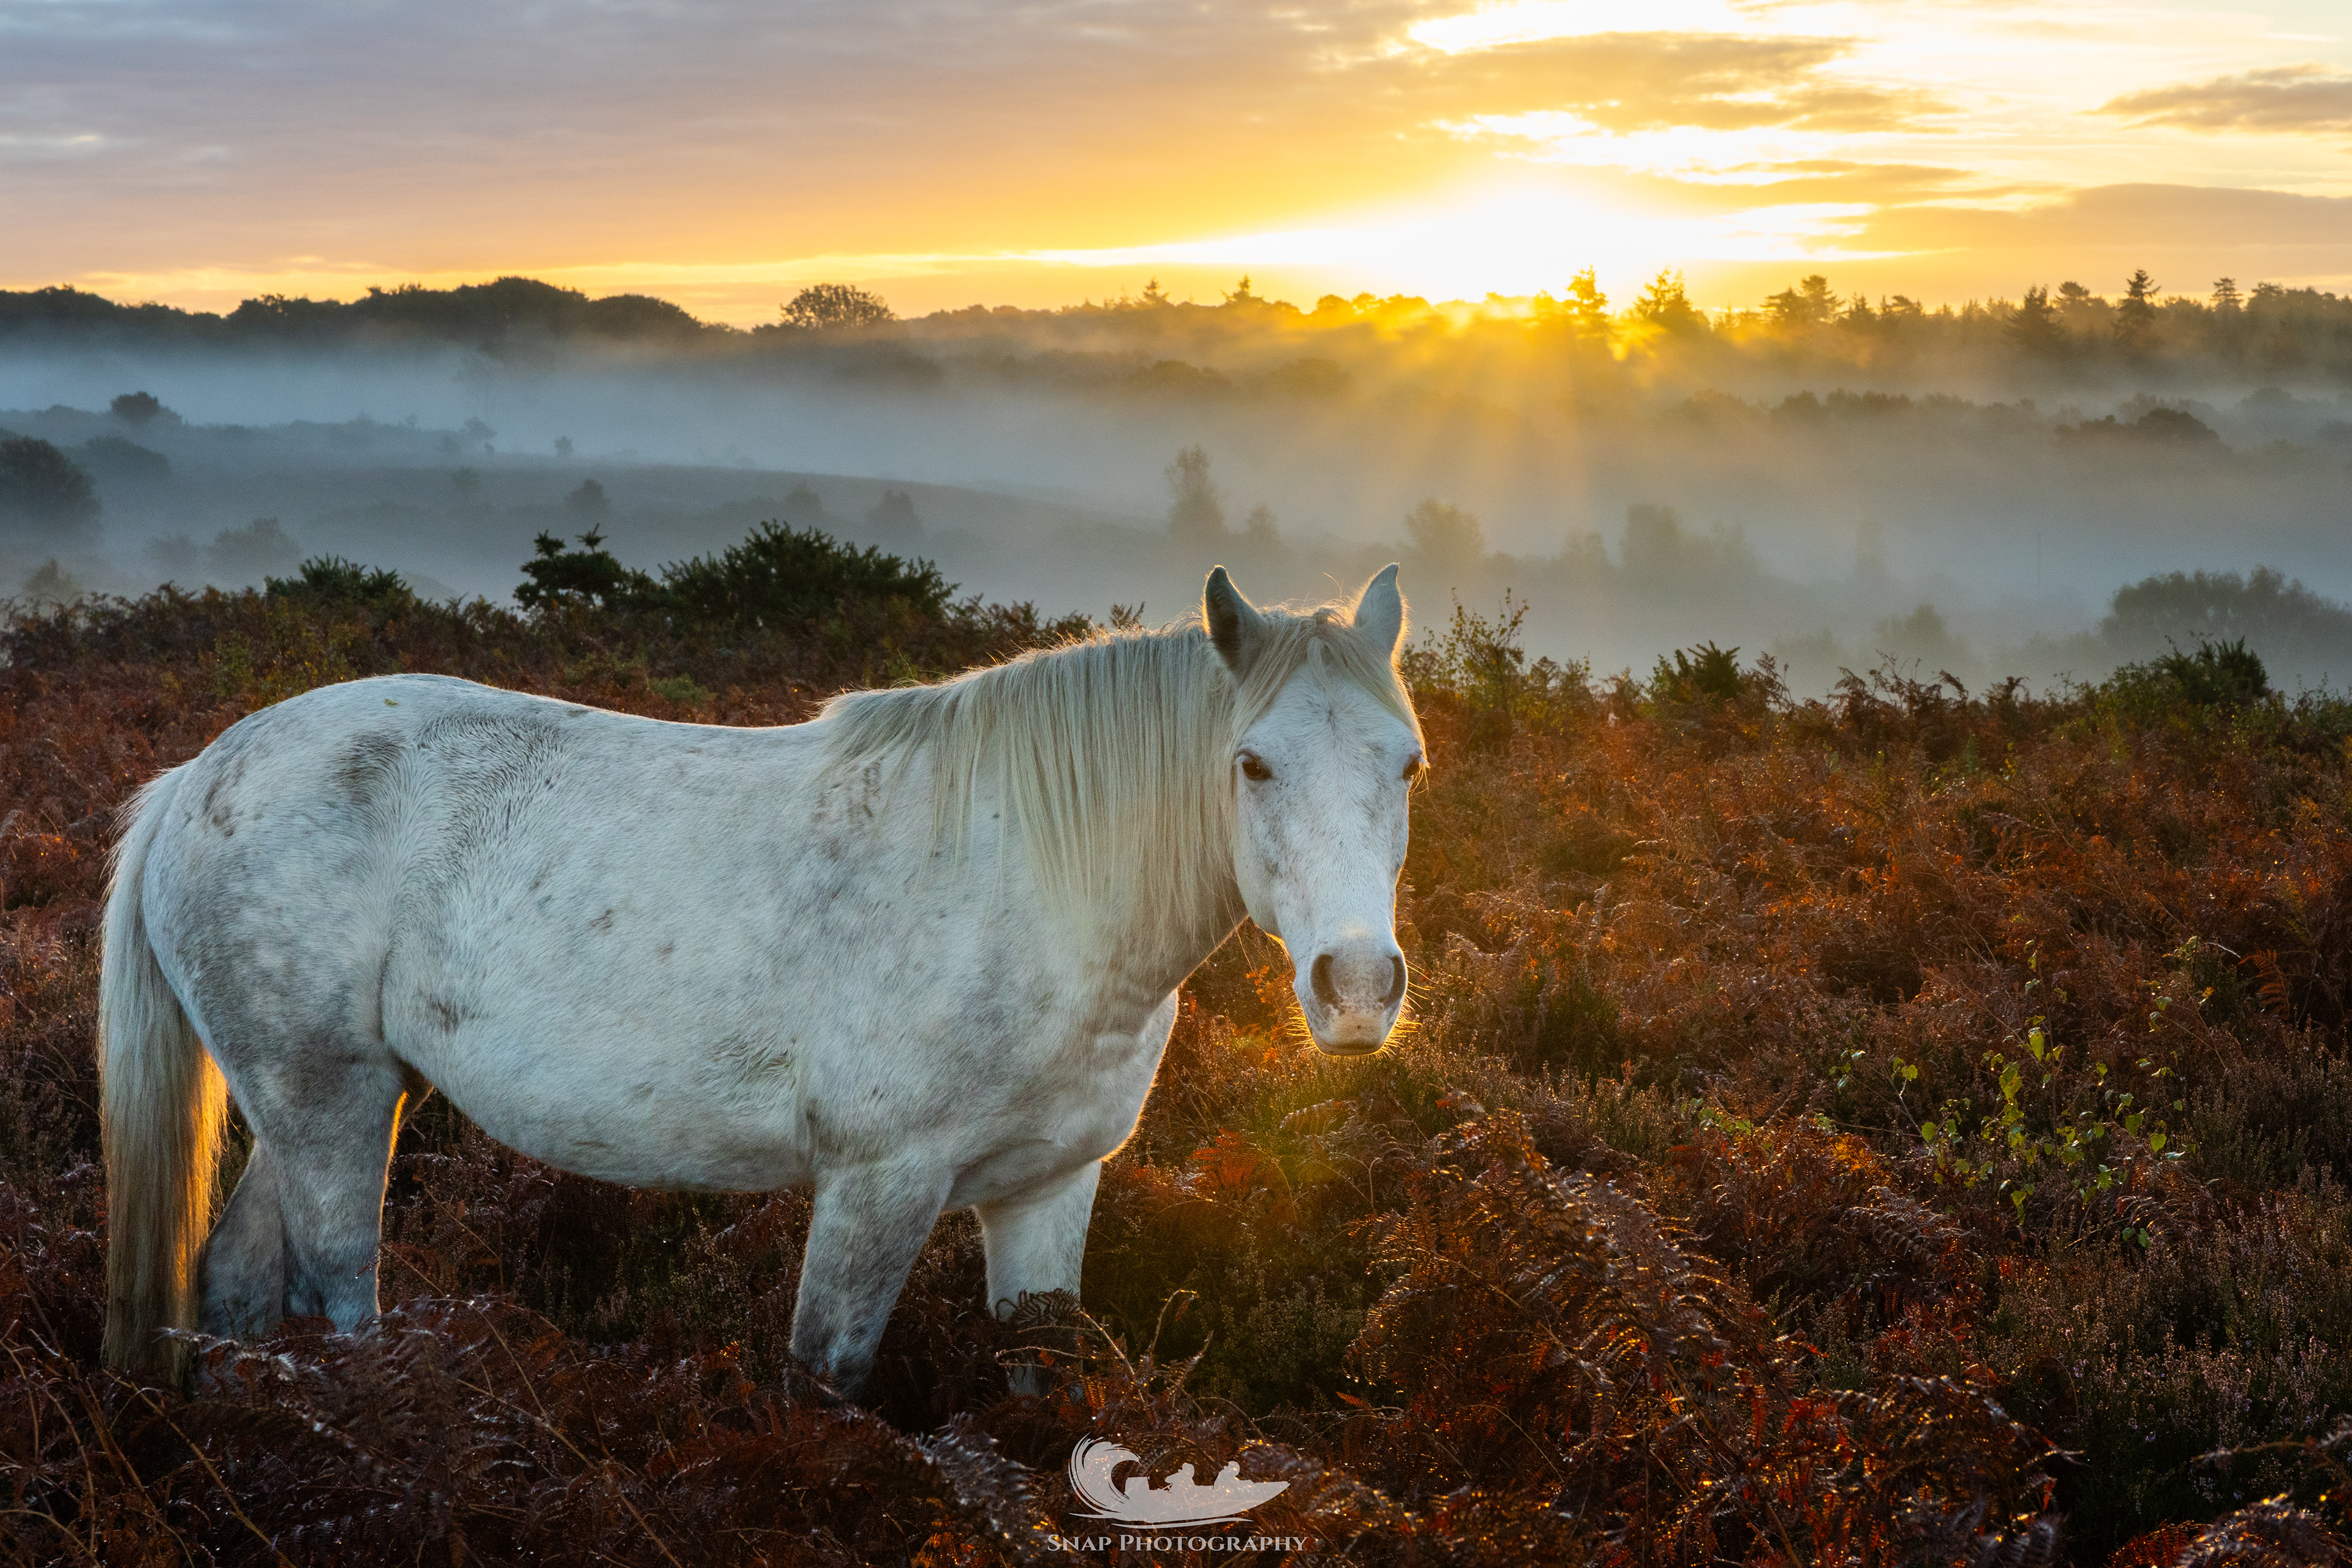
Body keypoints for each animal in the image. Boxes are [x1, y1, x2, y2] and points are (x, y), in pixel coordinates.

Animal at [99, 564, 1424, 1397]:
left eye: (1409, 763)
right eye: (1253, 763)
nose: (1358, 987)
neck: (1041, 876)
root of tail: (198, 777)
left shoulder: (1046, 1193)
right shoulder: (877, 1187)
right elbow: (824, 1382)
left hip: (335, 1098)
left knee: (235, 1289)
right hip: (325, 1107)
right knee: (336, 1308)